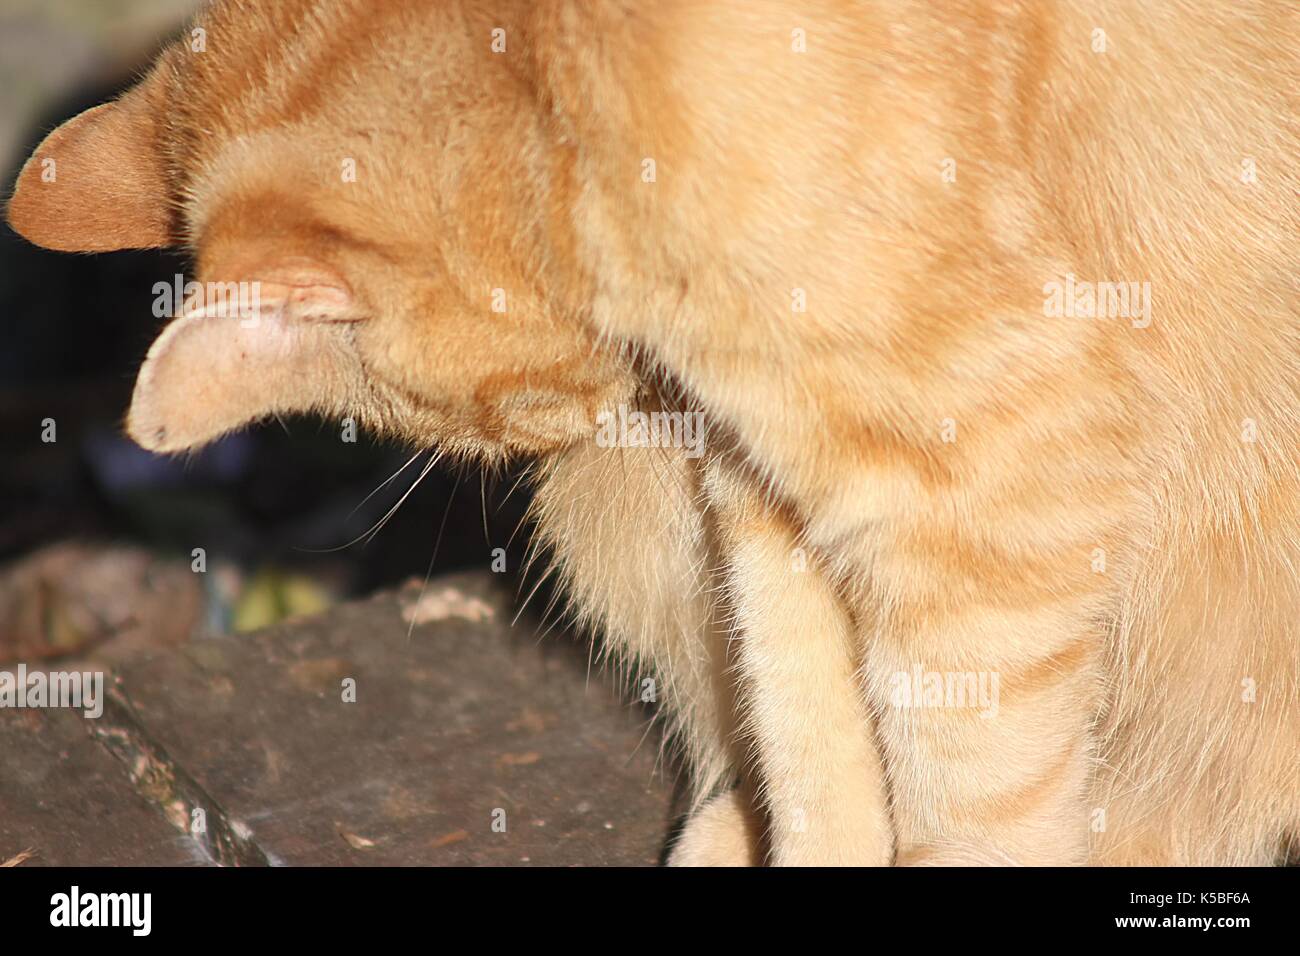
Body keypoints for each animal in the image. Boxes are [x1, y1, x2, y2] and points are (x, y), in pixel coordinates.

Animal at [10, 1, 1300, 868]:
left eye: (482, 416)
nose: (560, 428)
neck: (553, 72)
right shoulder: (773, 484)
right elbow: (812, 735)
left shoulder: (987, 475)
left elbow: (970, 797)